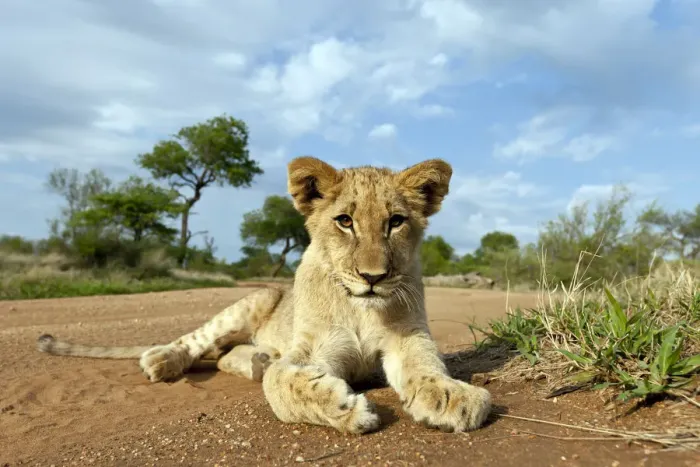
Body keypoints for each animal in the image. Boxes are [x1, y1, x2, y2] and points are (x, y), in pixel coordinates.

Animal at [36, 156, 492, 434]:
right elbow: (282, 383)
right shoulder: (311, 347)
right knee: (201, 342)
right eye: (345, 221)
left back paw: (256, 359)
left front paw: (450, 396)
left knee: (225, 357)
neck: (360, 306)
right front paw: (343, 407)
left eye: (396, 221)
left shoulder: (409, 336)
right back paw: (161, 360)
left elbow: (426, 365)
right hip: (250, 303)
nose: (373, 277)